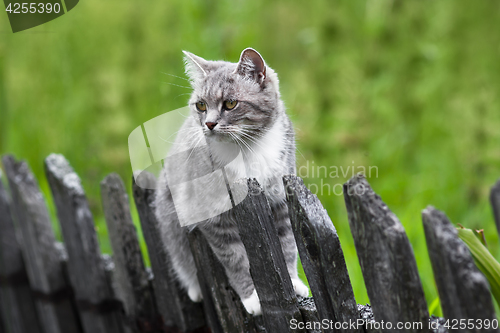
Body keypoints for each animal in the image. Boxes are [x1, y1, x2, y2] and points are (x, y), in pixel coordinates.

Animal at [154, 47, 308, 314]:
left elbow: (287, 246)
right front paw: (252, 297)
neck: (246, 149)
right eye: (201, 105)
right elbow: (235, 258)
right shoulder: (214, 217)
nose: (209, 123)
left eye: (230, 103)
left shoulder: (280, 202)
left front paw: (293, 281)